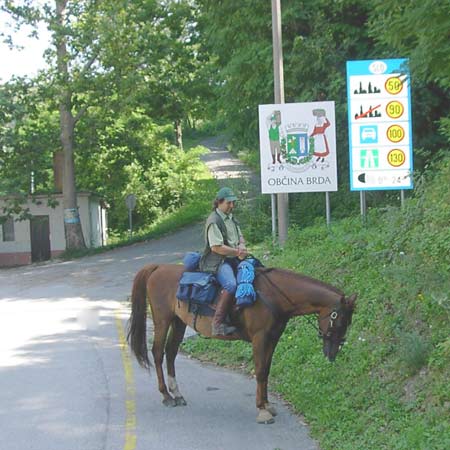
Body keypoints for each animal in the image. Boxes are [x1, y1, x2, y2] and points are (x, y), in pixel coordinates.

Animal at [127, 262, 358, 424]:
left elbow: (266, 370)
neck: (275, 296)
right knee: (158, 353)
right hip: (162, 320)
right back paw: (166, 395)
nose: (332, 353)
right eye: (339, 320)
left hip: (178, 322)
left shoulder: (272, 338)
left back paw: (177, 393)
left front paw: (267, 404)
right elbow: (260, 371)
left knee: (171, 353)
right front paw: (262, 410)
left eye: (348, 322)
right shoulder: (260, 338)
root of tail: (158, 267)